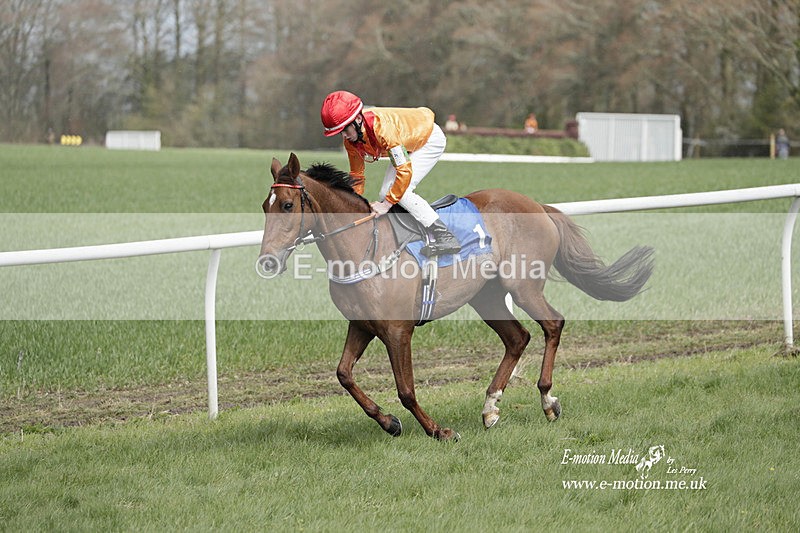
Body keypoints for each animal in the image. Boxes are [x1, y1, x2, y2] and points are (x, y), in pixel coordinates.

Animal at [258, 153, 654, 441]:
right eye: (265, 206)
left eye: (288, 205)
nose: (267, 260)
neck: (362, 247)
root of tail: (539, 205)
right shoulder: (363, 324)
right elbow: (343, 375)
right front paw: (389, 423)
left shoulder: (398, 330)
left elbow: (406, 389)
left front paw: (438, 430)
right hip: (487, 297)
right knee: (517, 338)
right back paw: (490, 407)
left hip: (523, 287)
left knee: (552, 324)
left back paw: (547, 400)